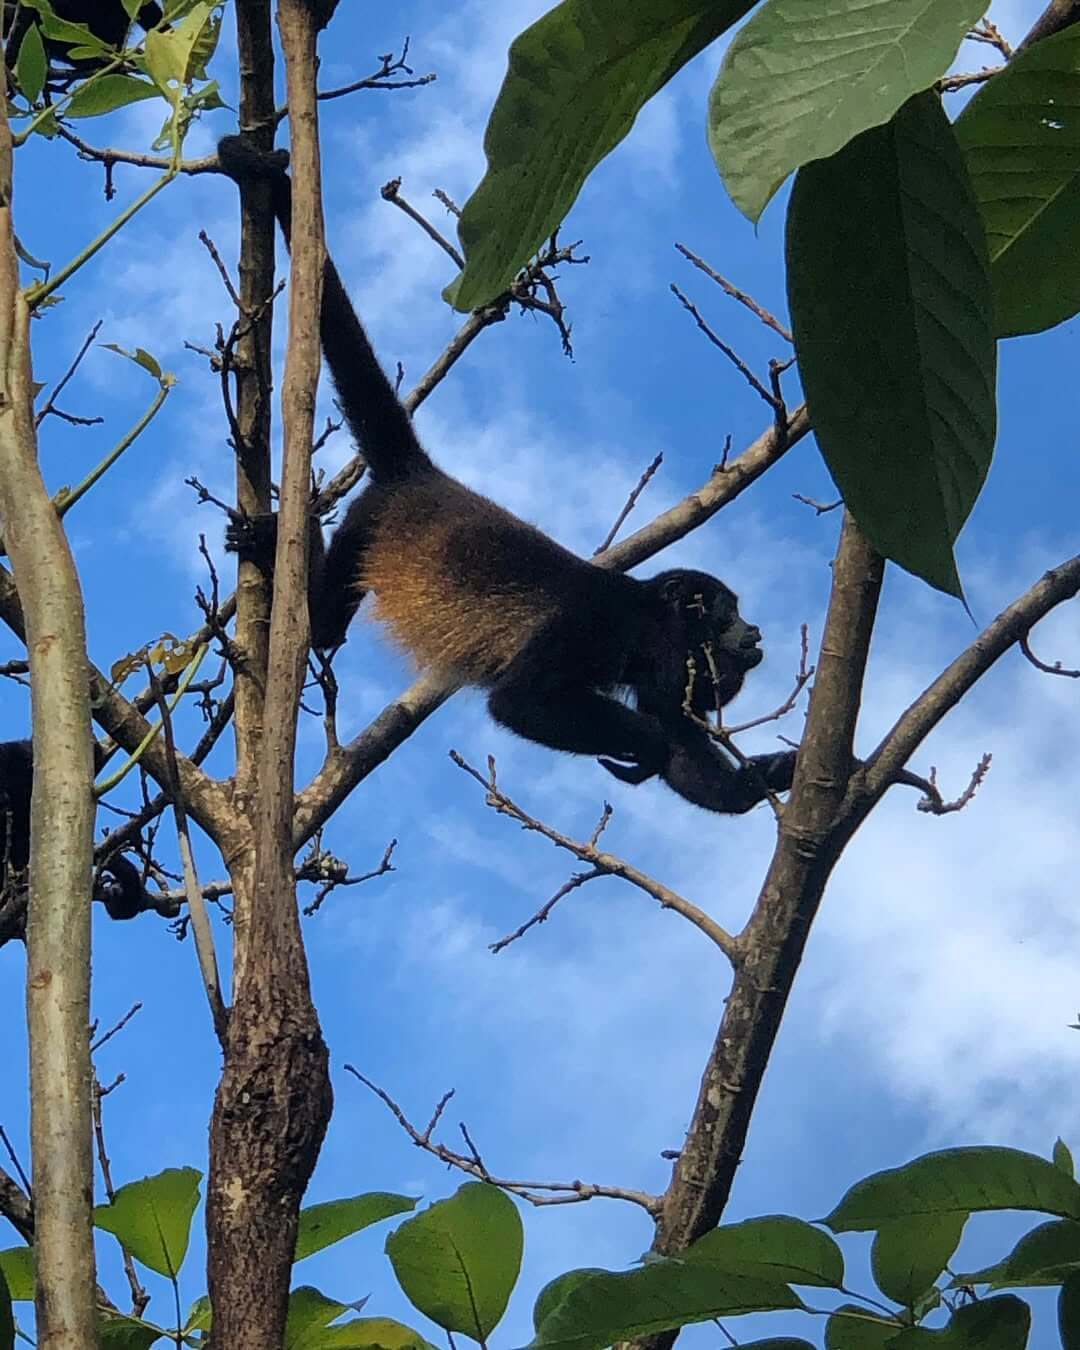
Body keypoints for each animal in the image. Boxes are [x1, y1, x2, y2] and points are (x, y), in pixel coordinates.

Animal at [216, 135, 797, 815]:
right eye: (728, 612)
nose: (754, 630)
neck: (650, 624)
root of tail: (422, 475)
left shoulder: (662, 674)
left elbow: (687, 753)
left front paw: (772, 775)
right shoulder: (598, 624)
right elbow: (522, 702)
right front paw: (649, 747)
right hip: (369, 521)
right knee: (324, 623)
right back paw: (283, 535)